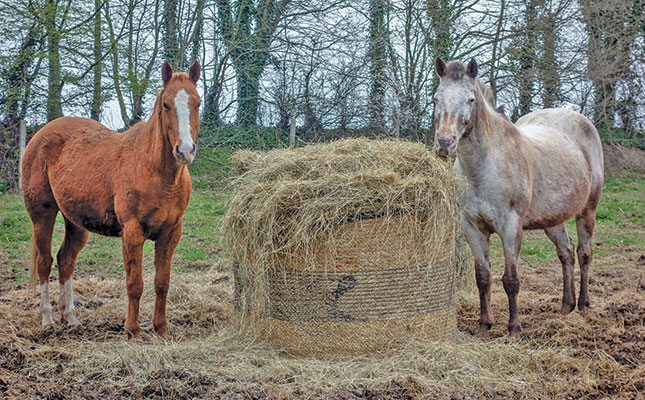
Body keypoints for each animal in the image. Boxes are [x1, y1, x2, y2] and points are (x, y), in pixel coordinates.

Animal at [22, 61, 200, 340]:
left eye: (197, 103)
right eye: (165, 104)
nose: (185, 151)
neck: (155, 171)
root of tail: (42, 134)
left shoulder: (170, 234)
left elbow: (162, 283)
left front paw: (161, 330)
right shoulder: (133, 232)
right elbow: (135, 284)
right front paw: (133, 331)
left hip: (75, 221)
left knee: (66, 260)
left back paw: (70, 318)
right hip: (42, 216)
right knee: (44, 262)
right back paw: (48, 319)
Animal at [432, 57, 604, 338]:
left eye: (470, 99)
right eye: (436, 98)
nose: (445, 143)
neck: (483, 169)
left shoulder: (511, 227)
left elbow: (511, 280)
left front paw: (514, 329)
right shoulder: (472, 227)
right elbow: (483, 278)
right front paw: (484, 326)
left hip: (587, 211)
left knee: (584, 253)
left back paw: (583, 305)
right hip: (553, 219)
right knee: (566, 253)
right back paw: (565, 307)